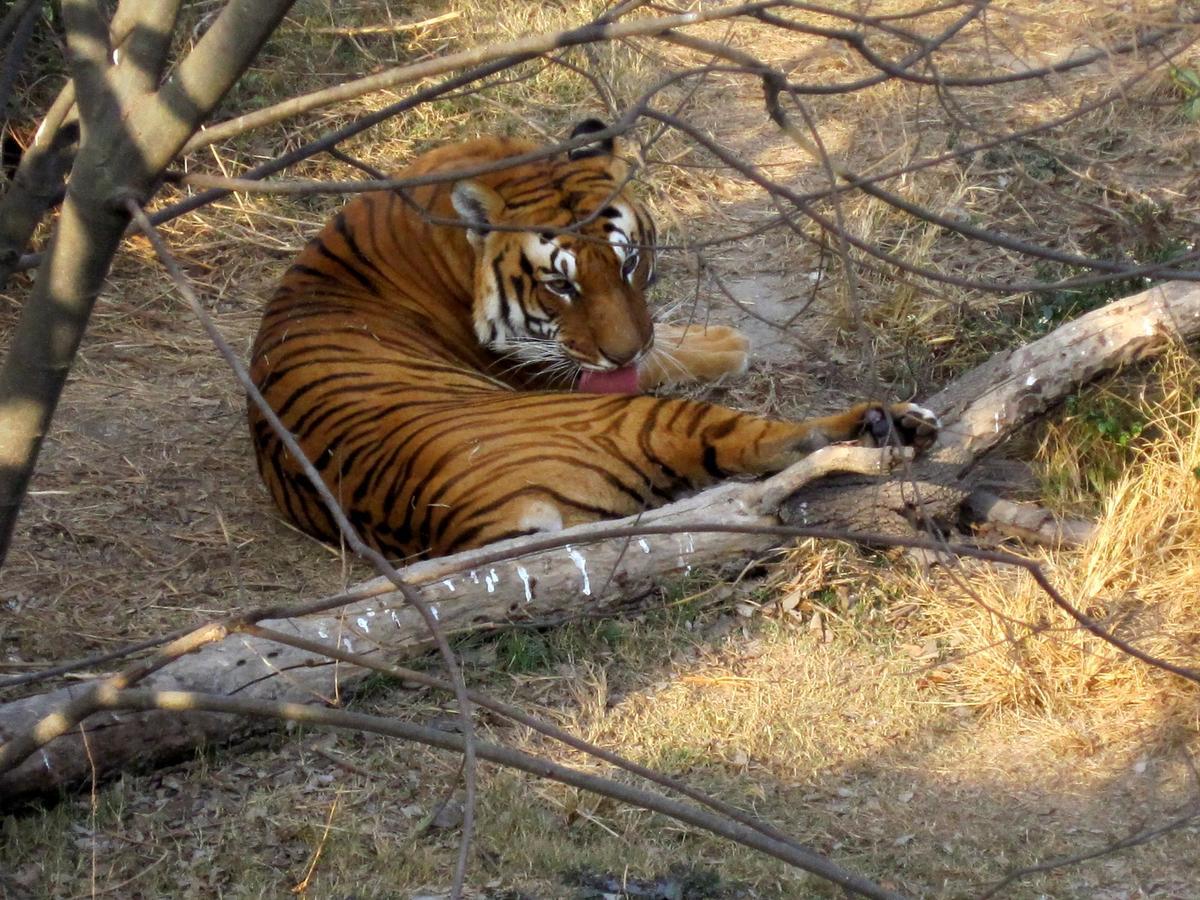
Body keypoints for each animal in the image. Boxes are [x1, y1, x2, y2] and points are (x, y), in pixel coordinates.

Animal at [246, 118, 936, 556]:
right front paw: (725, 343)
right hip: (635, 420)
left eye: (627, 264)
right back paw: (888, 426)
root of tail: (452, 525)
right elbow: (657, 358)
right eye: (561, 285)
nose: (623, 351)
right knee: (777, 446)